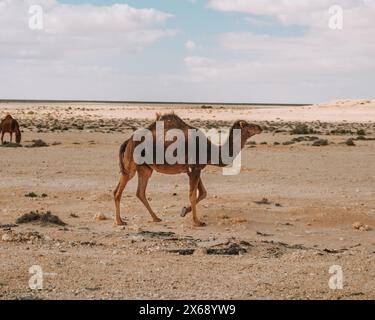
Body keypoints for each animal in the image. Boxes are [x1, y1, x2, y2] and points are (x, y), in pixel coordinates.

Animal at [113, 114, 262, 226]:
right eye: (248, 124)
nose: (260, 127)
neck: (211, 151)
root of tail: (128, 141)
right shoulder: (194, 168)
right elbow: (192, 194)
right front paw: (197, 222)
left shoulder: (195, 169)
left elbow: (203, 193)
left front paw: (184, 211)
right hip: (131, 164)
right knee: (120, 190)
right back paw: (120, 221)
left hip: (145, 168)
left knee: (140, 192)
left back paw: (156, 218)